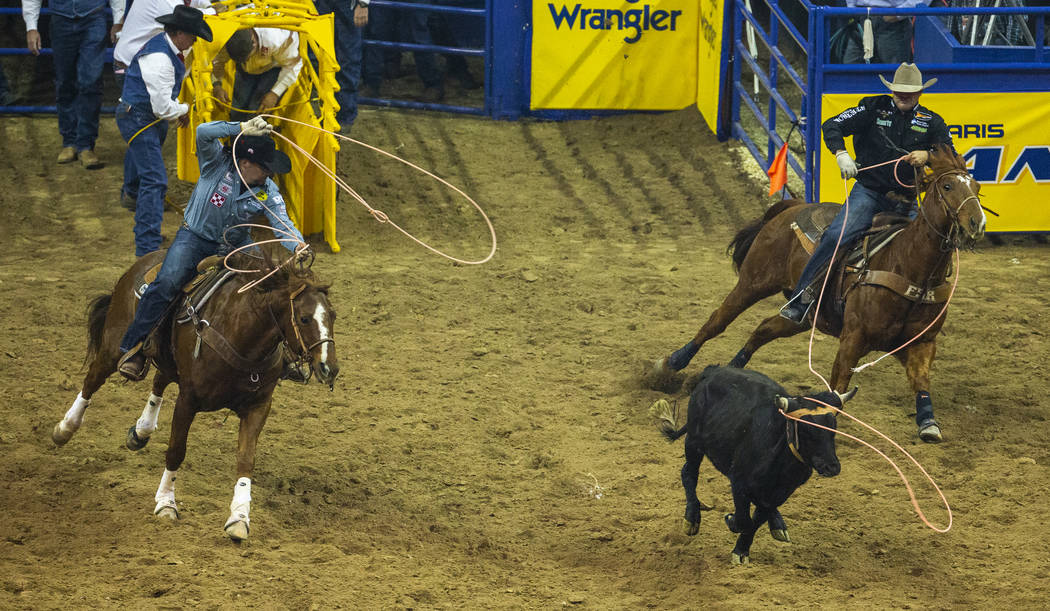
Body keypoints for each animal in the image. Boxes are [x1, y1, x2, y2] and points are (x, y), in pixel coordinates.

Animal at [53, 248, 340, 541]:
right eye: (304, 318)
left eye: (333, 316)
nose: (329, 368)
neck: (241, 336)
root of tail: (144, 261)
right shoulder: (187, 400)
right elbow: (176, 451)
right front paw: (166, 503)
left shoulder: (259, 406)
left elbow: (245, 459)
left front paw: (239, 518)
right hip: (113, 348)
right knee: (92, 380)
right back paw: (64, 428)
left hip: (168, 362)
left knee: (158, 380)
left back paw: (142, 430)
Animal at [651, 145, 986, 443]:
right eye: (947, 186)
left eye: (977, 187)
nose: (977, 223)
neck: (907, 265)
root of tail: (793, 205)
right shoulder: (853, 338)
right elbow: (839, 385)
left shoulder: (921, 343)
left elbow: (920, 381)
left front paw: (928, 423)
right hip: (753, 283)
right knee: (717, 320)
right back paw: (673, 363)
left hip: (804, 315)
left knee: (764, 328)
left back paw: (732, 370)